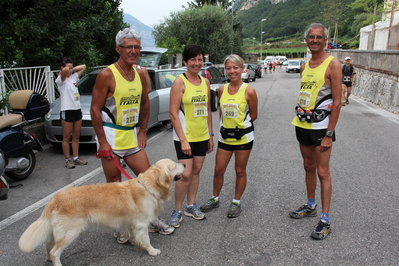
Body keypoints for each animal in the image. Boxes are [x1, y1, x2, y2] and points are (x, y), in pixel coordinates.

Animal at [19, 159, 185, 264]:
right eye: (174, 165)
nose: (184, 163)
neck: (148, 187)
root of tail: (55, 198)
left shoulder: (130, 222)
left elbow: (133, 235)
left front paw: (133, 242)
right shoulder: (141, 224)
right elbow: (146, 240)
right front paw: (152, 251)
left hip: (58, 231)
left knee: (48, 245)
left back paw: (48, 259)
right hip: (70, 232)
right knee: (55, 251)